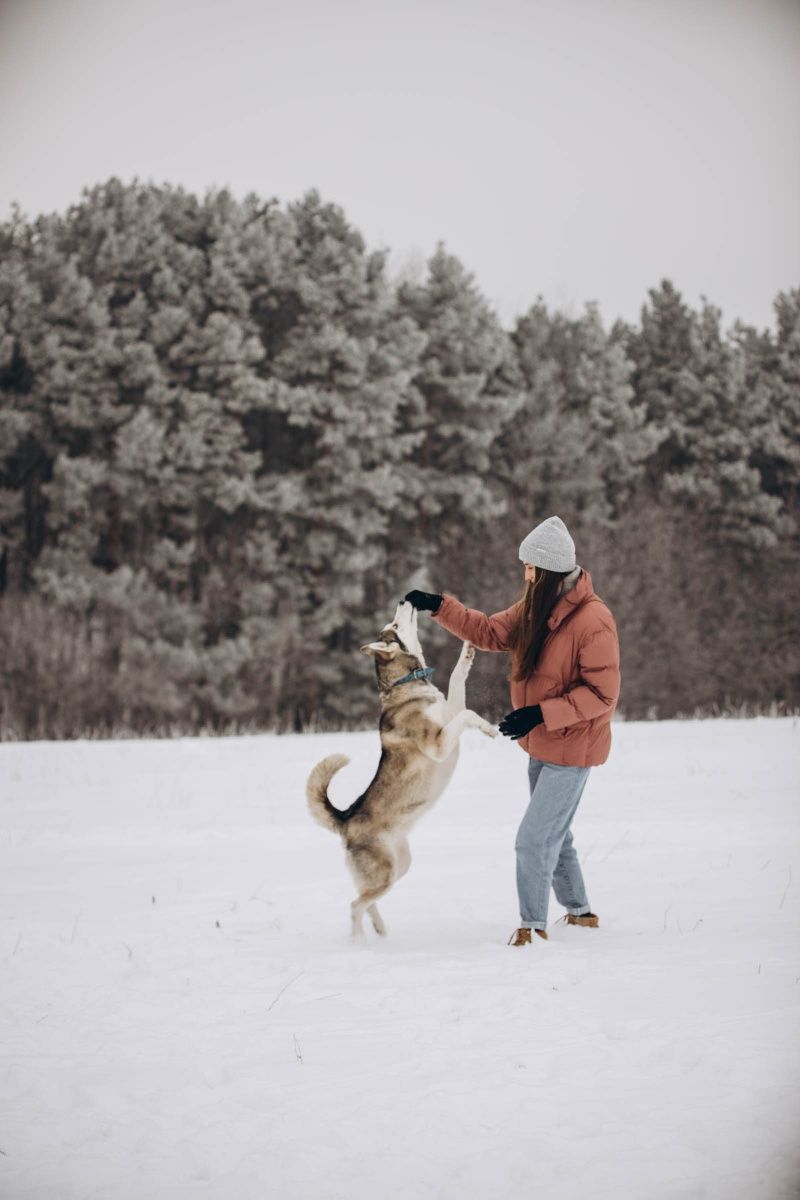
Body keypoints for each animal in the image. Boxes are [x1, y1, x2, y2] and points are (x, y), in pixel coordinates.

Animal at [304, 600, 496, 936]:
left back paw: (380, 929)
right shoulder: (438, 743)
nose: (403, 601)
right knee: (355, 905)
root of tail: (345, 819)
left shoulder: (450, 710)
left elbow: (457, 680)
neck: (408, 683)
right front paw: (487, 727)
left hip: (399, 866)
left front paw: (468, 648)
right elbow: (468, 714)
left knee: (365, 899)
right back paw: (359, 941)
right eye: (393, 626)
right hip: (387, 871)